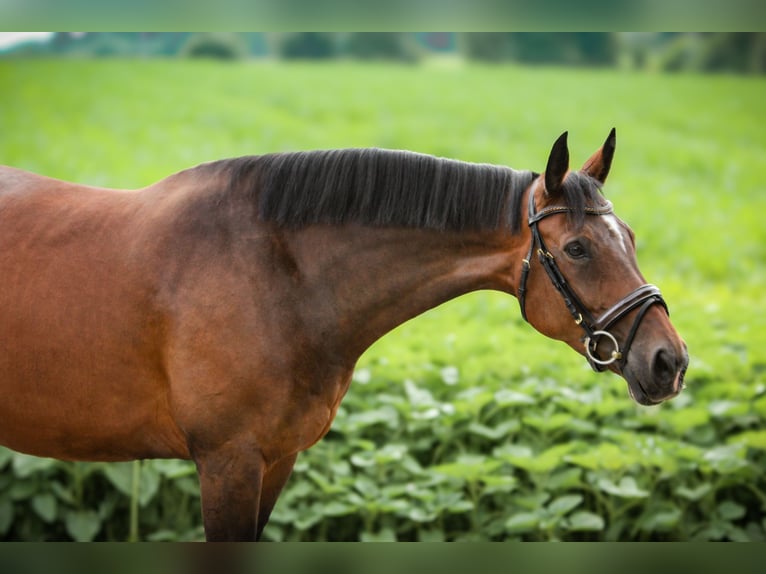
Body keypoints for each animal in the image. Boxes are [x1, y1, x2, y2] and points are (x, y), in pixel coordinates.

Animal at [0, 132, 688, 544]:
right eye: (577, 249)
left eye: (628, 236)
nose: (669, 361)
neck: (278, 276)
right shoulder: (226, 463)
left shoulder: (274, 461)